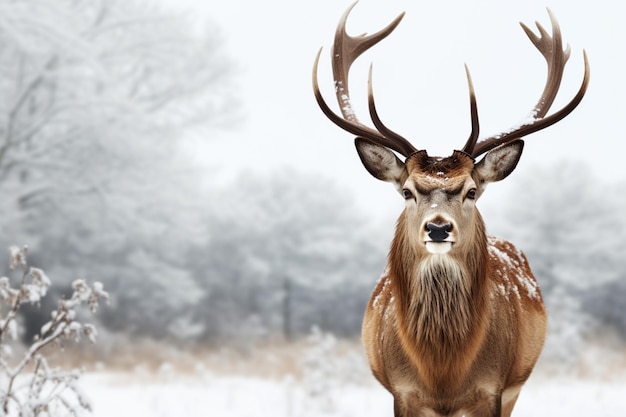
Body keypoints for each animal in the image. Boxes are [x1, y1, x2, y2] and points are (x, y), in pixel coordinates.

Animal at [312, 3, 588, 416]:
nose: (438, 228)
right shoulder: (402, 391)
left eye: (471, 191)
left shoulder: (492, 389)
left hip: (517, 386)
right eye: (407, 191)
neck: (442, 371)